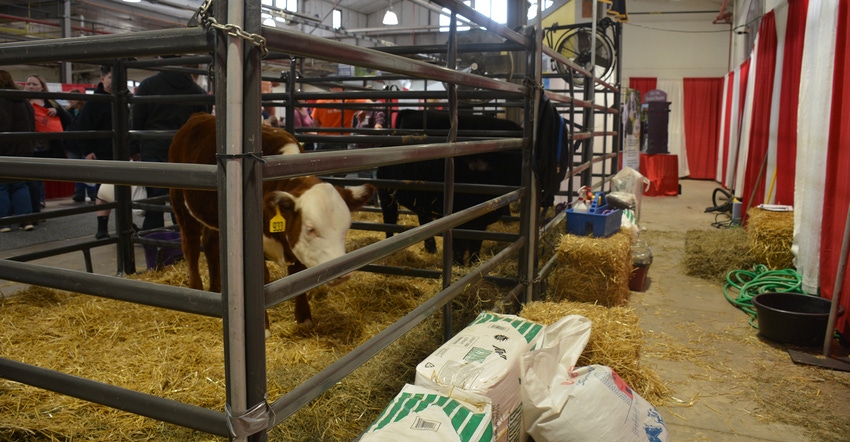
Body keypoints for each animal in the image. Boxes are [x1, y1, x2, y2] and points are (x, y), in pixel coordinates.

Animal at [169, 113, 374, 328]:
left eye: (346, 228)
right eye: (310, 229)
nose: (342, 272)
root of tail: (197, 116)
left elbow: (297, 274)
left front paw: (304, 318)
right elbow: (262, 278)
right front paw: (265, 326)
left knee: (210, 243)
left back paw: (215, 289)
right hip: (180, 203)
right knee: (191, 246)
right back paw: (196, 289)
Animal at [376, 109, 520, 266]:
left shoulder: (479, 222)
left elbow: (475, 245)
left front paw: (474, 264)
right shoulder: (458, 218)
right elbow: (459, 246)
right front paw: (458, 265)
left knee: (423, 220)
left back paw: (431, 248)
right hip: (386, 196)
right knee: (389, 219)